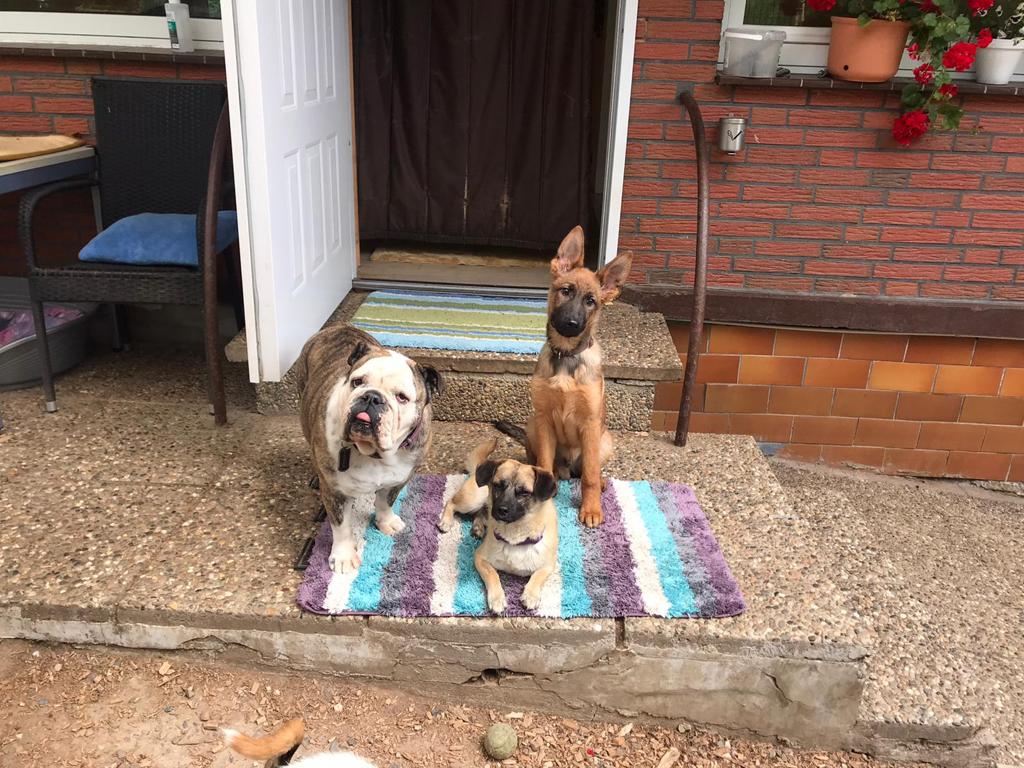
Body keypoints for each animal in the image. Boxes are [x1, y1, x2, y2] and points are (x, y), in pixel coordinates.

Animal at [296, 325, 441, 574]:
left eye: (402, 398)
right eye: (357, 382)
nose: (372, 397)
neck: (373, 453)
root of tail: (337, 327)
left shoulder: (400, 478)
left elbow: (385, 501)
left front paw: (386, 522)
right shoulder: (335, 492)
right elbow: (341, 526)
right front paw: (344, 556)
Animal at [471, 455, 559, 614]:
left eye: (524, 492)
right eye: (498, 485)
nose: (501, 510)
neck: (515, 535)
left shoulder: (549, 565)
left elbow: (538, 575)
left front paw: (531, 595)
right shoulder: (479, 557)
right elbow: (492, 574)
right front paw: (497, 599)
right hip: (473, 499)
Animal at [497, 226, 632, 528]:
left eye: (591, 301)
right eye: (566, 291)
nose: (571, 324)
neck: (567, 357)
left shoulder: (591, 424)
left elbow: (590, 475)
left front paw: (591, 509)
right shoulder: (545, 419)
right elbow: (544, 465)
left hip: (605, 440)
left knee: (588, 471)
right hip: (533, 426)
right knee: (544, 462)